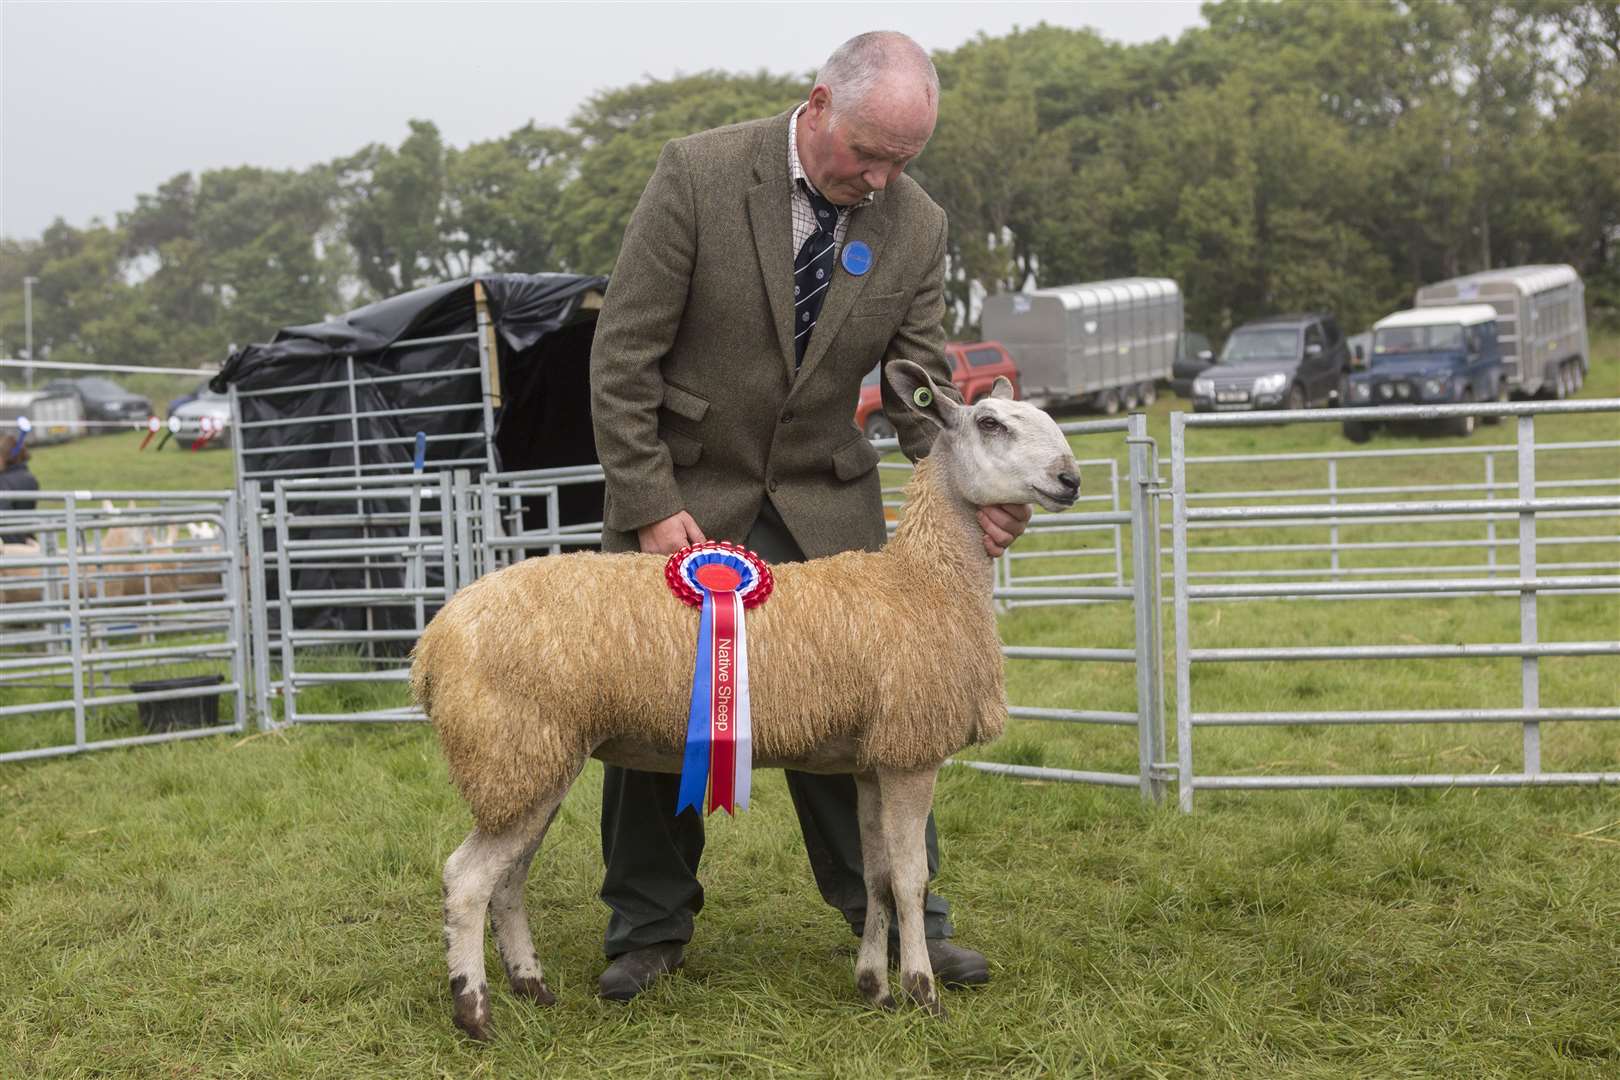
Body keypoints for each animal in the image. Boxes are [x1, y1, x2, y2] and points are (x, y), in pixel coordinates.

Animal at [411, 361, 1082, 1036]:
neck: (924, 581)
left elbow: (876, 876)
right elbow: (911, 879)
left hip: (531, 762)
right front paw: (921, 992)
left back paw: (531, 986)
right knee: (466, 879)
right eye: (991, 424)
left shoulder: (873, 760)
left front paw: (874, 985)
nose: (1070, 479)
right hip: (512, 747)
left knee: (508, 879)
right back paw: (475, 1011)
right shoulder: (910, 754)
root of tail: (434, 641)